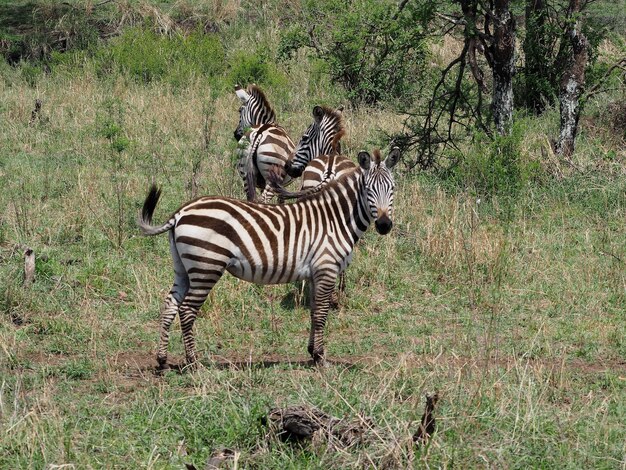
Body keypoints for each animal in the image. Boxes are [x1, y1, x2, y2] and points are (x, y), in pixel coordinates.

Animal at [137, 146, 400, 368]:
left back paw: (162, 360)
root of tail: (181, 212)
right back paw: (193, 362)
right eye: (368, 190)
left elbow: (314, 311)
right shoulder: (326, 268)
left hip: (183, 267)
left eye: (392, 189)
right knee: (187, 310)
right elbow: (322, 312)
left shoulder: (315, 273)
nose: (384, 225)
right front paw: (321, 357)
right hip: (206, 266)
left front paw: (312, 352)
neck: (335, 219)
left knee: (170, 305)